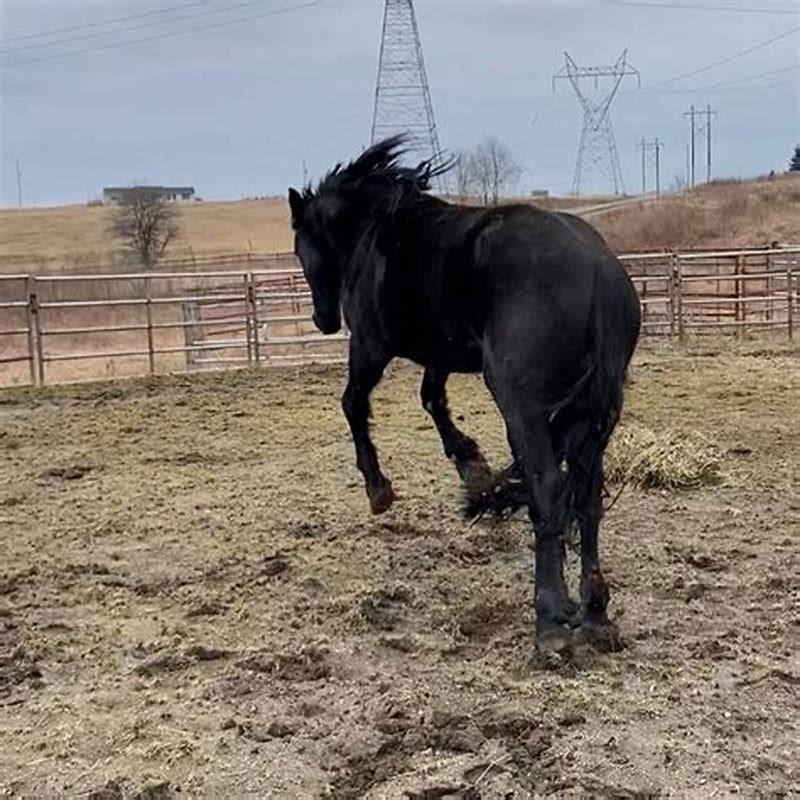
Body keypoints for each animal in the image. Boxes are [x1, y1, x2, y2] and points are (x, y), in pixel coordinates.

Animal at [287, 136, 641, 655]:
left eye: (301, 247)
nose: (323, 320)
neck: (378, 231)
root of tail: (596, 267)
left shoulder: (371, 346)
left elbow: (353, 403)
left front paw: (379, 489)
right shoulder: (442, 351)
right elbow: (432, 399)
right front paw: (472, 468)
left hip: (521, 403)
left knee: (548, 491)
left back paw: (551, 621)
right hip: (588, 412)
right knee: (588, 497)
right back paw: (594, 614)